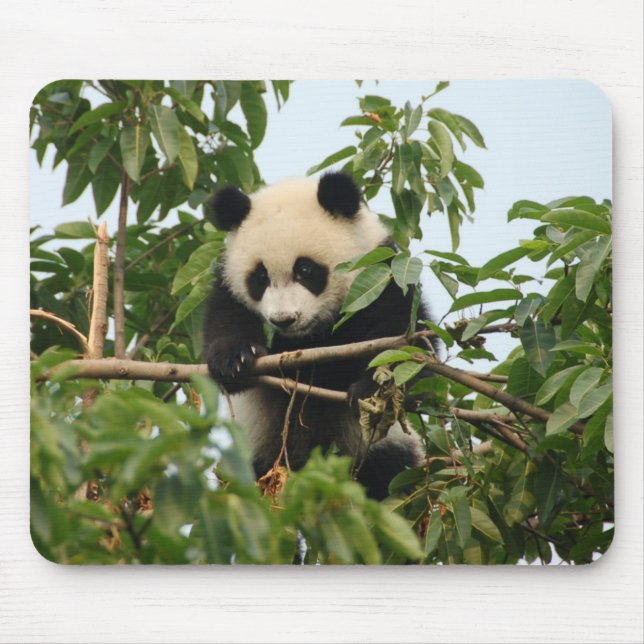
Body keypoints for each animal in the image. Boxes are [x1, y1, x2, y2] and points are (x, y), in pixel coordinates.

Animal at [202, 172, 430, 500]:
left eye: (305, 270)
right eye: (260, 277)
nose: (284, 320)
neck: (309, 338)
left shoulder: (382, 274)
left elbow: (407, 343)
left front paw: (371, 390)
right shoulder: (228, 287)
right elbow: (225, 322)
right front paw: (235, 361)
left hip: (380, 453)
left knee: (390, 476)